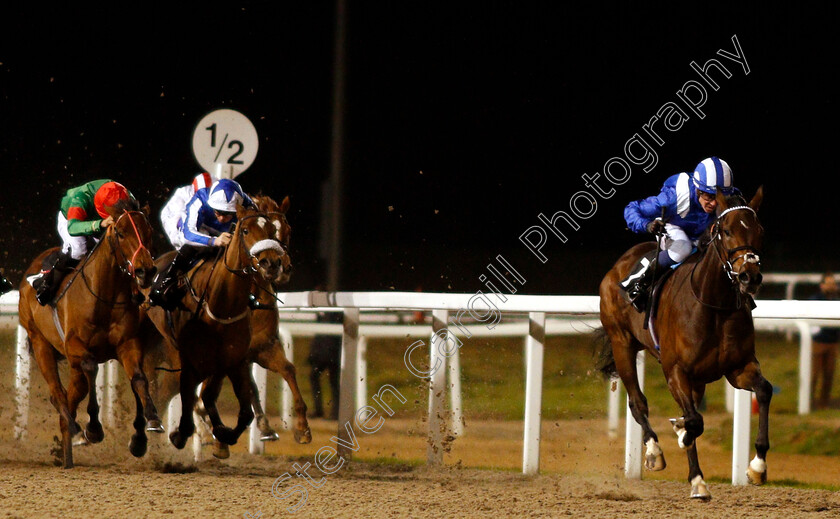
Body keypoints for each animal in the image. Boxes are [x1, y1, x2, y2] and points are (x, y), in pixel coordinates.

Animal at [17, 201, 162, 470]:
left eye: (149, 232)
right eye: (121, 233)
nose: (145, 271)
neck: (104, 295)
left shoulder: (128, 344)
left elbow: (138, 379)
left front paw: (147, 427)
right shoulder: (77, 347)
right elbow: (91, 368)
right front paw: (93, 428)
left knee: (71, 395)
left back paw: (67, 450)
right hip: (40, 343)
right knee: (58, 393)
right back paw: (74, 430)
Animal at [596, 187, 768, 500]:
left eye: (759, 230)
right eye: (726, 230)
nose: (750, 276)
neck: (714, 305)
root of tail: (620, 264)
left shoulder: (739, 368)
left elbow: (763, 391)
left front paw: (757, 467)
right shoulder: (676, 371)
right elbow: (695, 422)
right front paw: (697, 477)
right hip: (621, 343)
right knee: (637, 402)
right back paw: (654, 451)